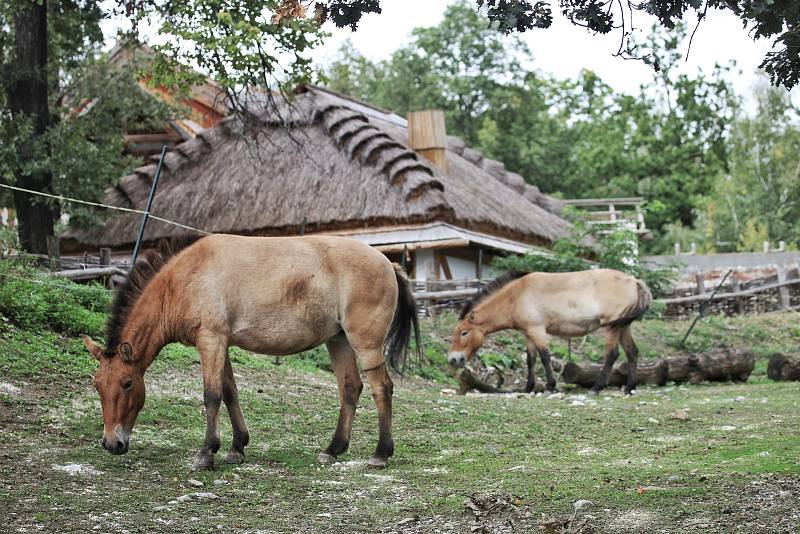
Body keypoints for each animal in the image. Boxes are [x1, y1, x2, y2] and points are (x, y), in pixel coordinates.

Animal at [81, 237, 418, 472]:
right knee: (350, 389)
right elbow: (230, 393)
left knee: (381, 389)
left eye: (127, 383)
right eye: (97, 385)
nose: (112, 443)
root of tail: (387, 263)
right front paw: (236, 447)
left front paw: (206, 454)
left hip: (365, 343)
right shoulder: (222, 344)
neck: (184, 280)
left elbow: (212, 396)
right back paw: (333, 449)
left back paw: (380, 454)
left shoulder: (211, 340)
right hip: (339, 341)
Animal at [450, 270, 648, 396]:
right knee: (632, 352)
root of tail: (634, 280)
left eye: (464, 333)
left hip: (611, 327)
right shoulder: (528, 333)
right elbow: (531, 360)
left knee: (612, 354)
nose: (454, 360)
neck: (516, 296)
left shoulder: (537, 330)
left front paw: (550, 386)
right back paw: (629, 389)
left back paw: (596, 388)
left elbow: (545, 357)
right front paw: (528, 388)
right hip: (623, 327)